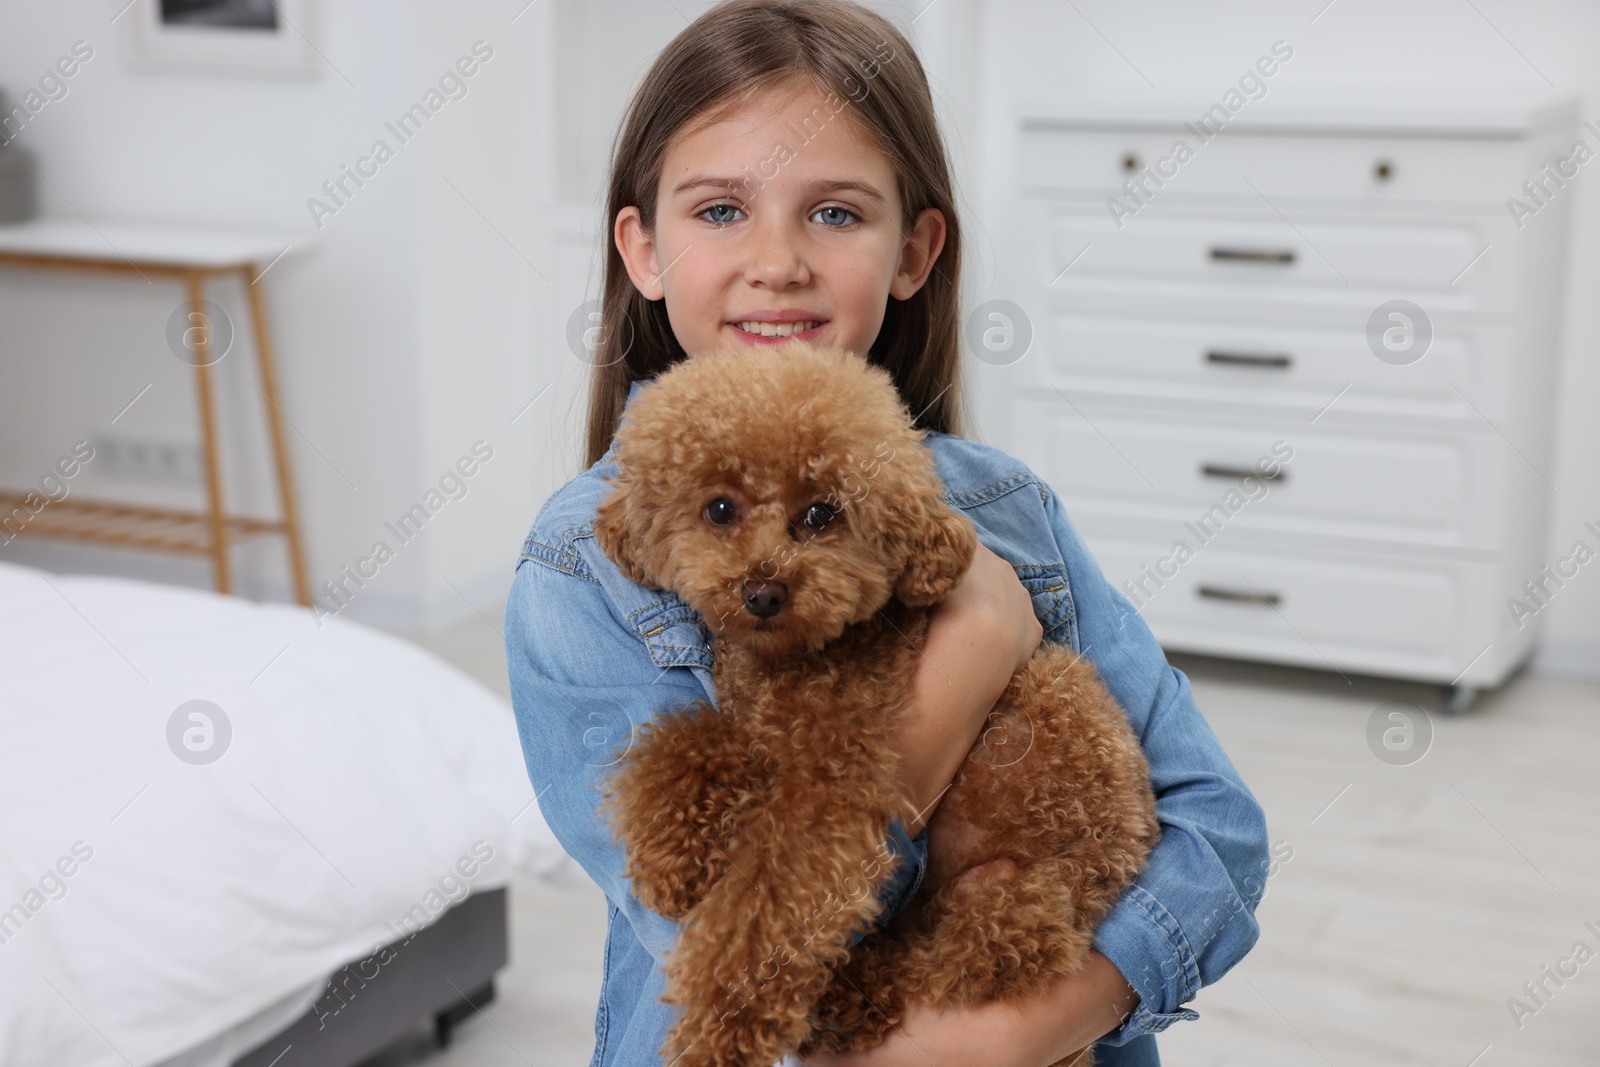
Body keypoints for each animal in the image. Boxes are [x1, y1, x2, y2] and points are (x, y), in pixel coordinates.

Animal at [595, 343, 1158, 1067]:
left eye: (821, 514)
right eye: (719, 509)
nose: (764, 592)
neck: (793, 659)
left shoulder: (828, 792)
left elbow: (763, 918)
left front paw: (721, 1035)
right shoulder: (751, 725)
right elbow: (682, 741)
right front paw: (674, 859)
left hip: (1013, 897)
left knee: (964, 965)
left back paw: (856, 997)